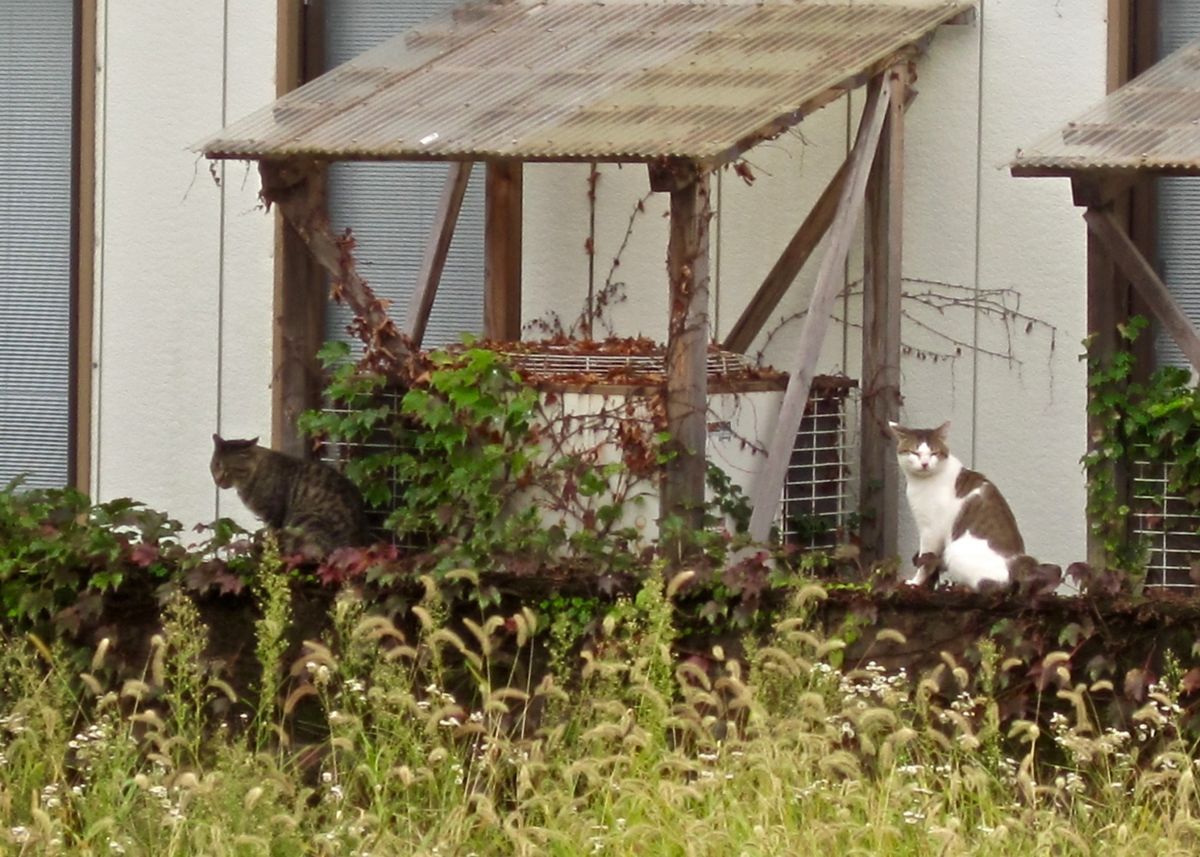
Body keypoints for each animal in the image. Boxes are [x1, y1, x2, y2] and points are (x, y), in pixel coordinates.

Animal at [211, 434, 367, 554]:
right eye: (216, 465)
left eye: (231, 469)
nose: (218, 480)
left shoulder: (273, 515)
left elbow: (273, 538)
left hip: (305, 519)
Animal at [888, 420, 1027, 588]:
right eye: (915, 453)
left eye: (934, 453)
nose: (925, 464)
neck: (922, 482)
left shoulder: (930, 530)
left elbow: (924, 560)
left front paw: (915, 582)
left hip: (953, 551)